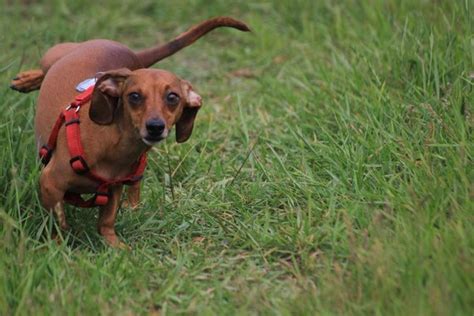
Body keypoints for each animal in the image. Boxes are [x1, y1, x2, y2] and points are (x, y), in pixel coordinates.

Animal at [10, 16, 248, 247]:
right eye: (134, 96)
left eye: (173, 97)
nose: (155, 127)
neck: (116, 146)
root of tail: (127, 52)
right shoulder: (50, 183)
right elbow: (57, 224)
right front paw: (58, 247)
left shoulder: (114, 188)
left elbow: (106, 223)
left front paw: (118, 248)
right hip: (52, 56)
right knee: (43, 70)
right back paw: (27, 79)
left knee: (137, 179)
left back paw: (133, 206)